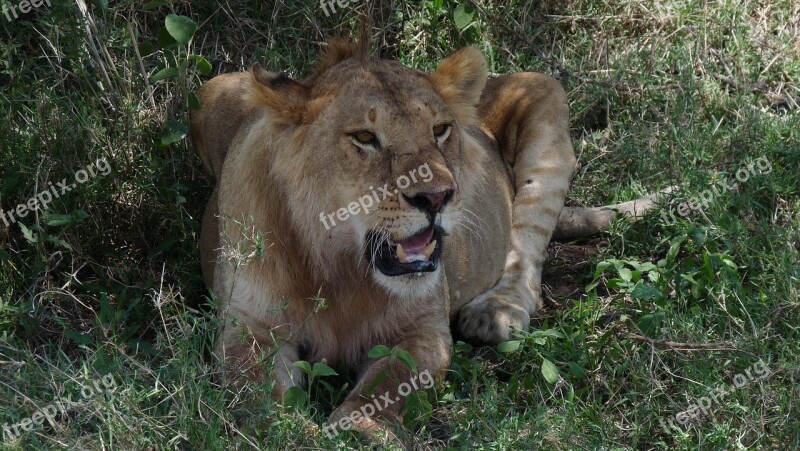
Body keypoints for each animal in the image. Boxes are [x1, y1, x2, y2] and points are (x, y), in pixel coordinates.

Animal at [191, 30, 580, 440]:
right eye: (365, 136)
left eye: (440, 130)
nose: (436, 197)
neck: (338, 268)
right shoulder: (248, 327)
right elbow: (256, 399)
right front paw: (292, 432)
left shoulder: (424, 330)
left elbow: (389, 386)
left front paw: (361, 431)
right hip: (211, 91)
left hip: (543, 93)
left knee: (528, 242)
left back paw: (497, 311)